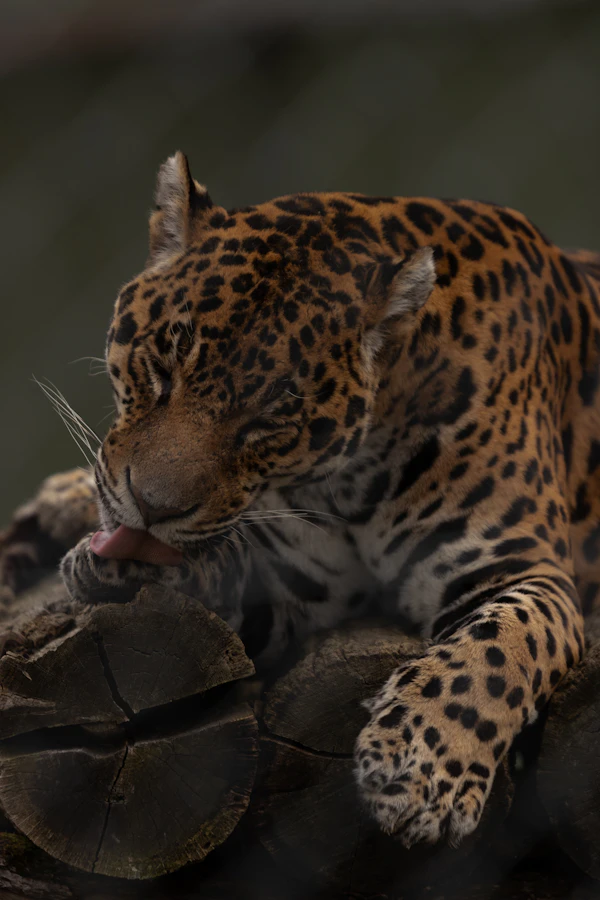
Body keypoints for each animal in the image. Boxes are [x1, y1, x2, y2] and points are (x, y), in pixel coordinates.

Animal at [4, 151, 600, 850]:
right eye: (161, 366)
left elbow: (495, 652)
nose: (152, 507)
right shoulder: (302, 586)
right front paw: (117, 560)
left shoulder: (527, 570)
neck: (350, 480)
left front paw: (417, 772)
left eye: (267, 421)